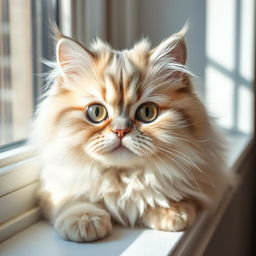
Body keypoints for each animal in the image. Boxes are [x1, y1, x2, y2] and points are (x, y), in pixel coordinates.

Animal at [31, 26, 229, 242]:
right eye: (96, 112)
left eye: (147, 112)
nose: (121, 131)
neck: (123, 178)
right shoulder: (55, 182)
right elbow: (72, 198)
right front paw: (85, 219)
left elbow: (165, 190)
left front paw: (171, 211)